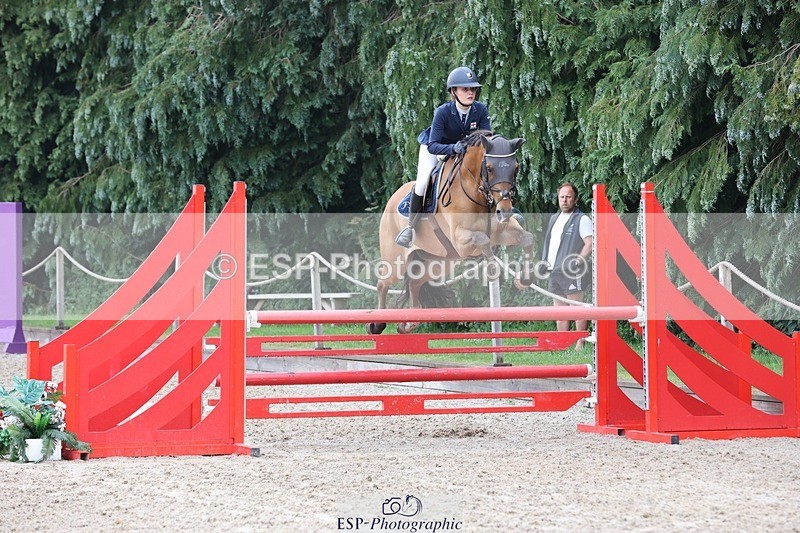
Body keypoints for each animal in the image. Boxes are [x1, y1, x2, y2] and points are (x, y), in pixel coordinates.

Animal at [368, 131, 535, 334]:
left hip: (440, 260)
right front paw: (492, 267)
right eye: (489, 169)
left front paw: (524, 279)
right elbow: (482, 239)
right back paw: (376, 324)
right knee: (382, 283)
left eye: (515, 168)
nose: (505, 211)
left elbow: (527, 238)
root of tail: (392, 198)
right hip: (397, 260)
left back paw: (409, 323)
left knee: (415, 283)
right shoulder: (460, 239)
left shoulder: (501, 232)